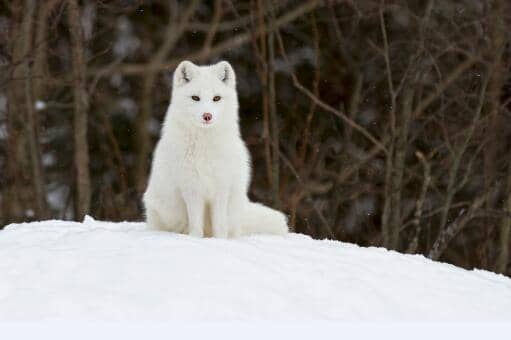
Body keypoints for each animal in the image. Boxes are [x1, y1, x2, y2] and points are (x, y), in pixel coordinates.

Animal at [143, 59, 288, 238]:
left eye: (216, 98)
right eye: (195, 98)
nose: (207, 116)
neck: (205, 148)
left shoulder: (221, 188)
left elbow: (219, 224)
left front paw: (220, 240)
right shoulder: (192, 189)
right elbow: (195, 223)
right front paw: (195, 238)